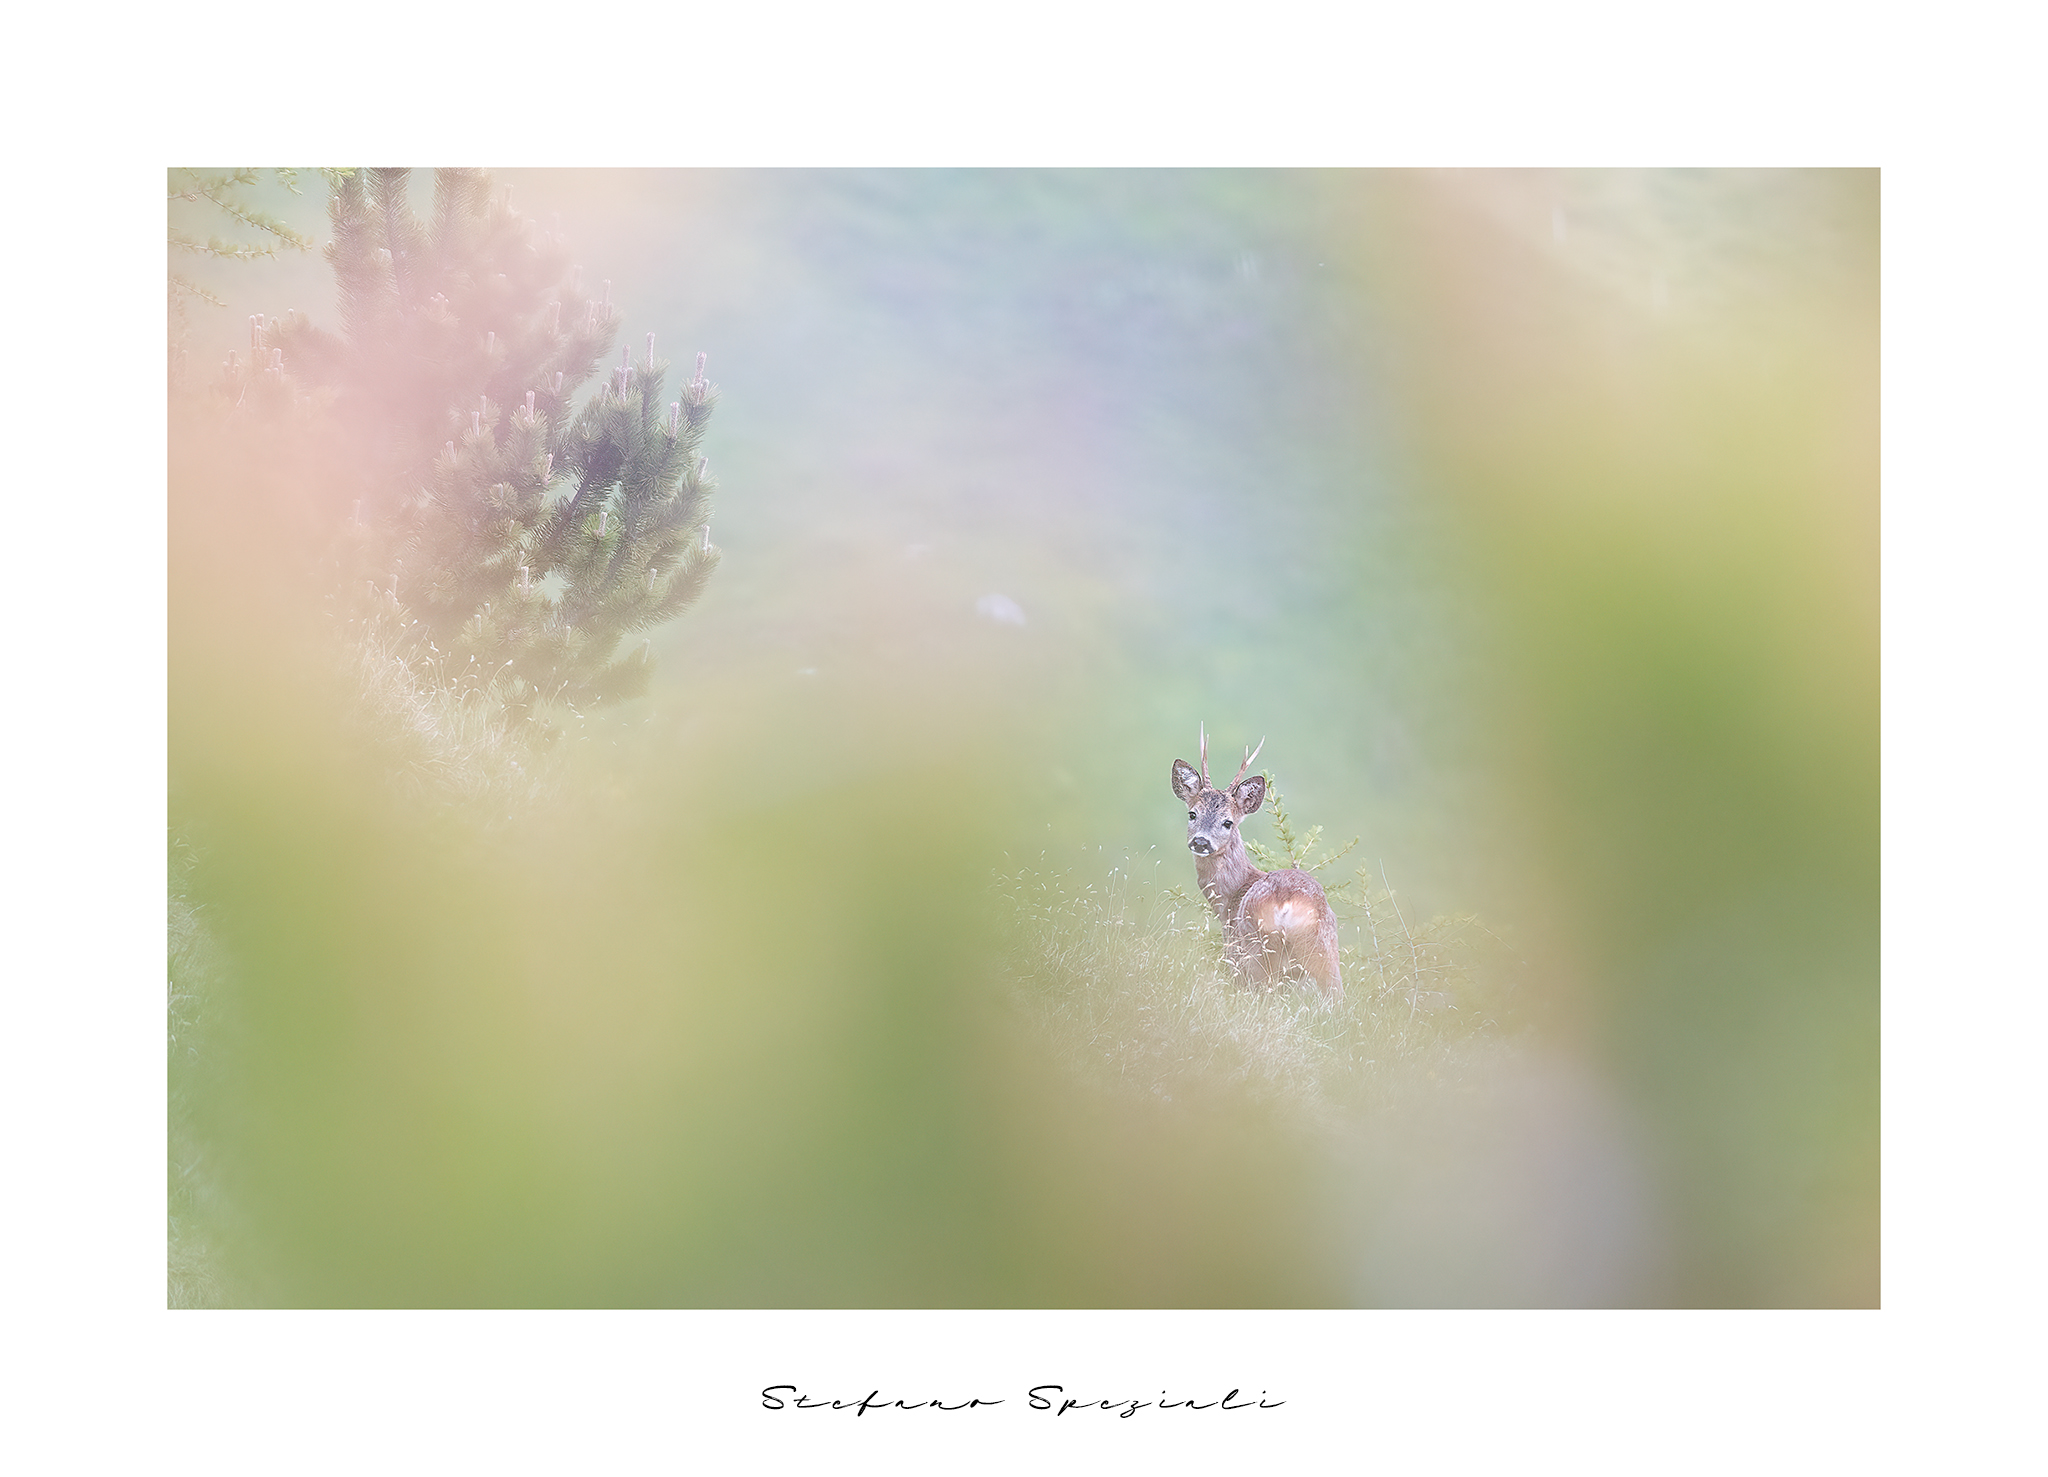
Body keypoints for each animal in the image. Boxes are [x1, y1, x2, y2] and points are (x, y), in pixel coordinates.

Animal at [1171, 725, 1344, 1003]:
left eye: (1228, 822)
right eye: (1192, 813)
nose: (1200, 841)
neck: (1229, 898)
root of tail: (1286, 901)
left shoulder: (1232, 948)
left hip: (1255, 947)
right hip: (1325, 947)